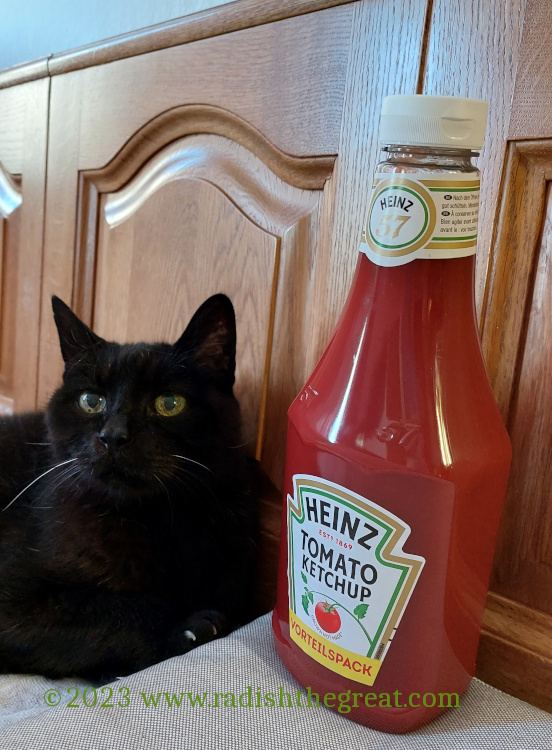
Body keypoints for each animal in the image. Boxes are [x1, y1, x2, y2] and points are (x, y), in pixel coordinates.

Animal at [0, 294, 257, 681]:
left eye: (169, 403)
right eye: (91, 401)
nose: (112, 437)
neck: (148, 519)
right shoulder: (17, 600)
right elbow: (118, 610)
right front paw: (190, 629)